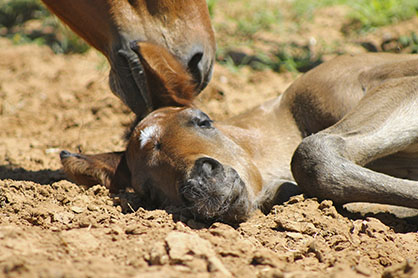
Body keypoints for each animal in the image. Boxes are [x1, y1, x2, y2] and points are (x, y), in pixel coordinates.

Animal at [60, 41, 416, 224]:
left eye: (202, 120)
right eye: (148, 193)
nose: (201, 185)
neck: (290, 116)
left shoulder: (401, 84)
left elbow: (313, 153)